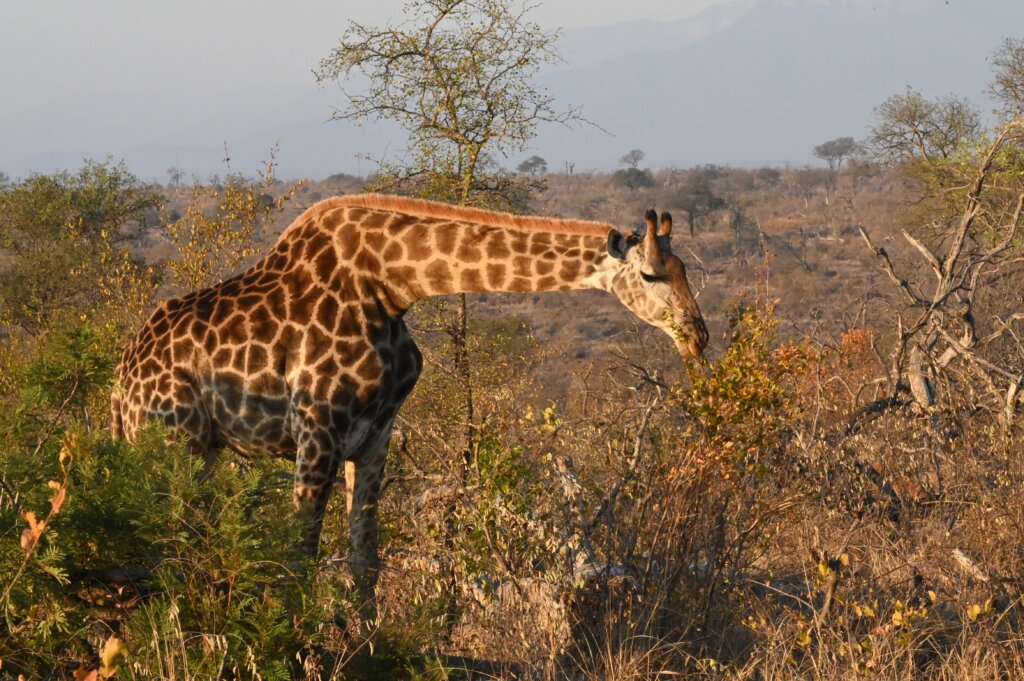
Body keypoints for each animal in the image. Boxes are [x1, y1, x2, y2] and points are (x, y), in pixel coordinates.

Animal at [110, 195, 704, 614]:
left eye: (685, 273)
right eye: (650, 274)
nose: (697, 336)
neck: (392, 284)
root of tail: (120, 384)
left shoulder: (375, 436)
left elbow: (365, 562)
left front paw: (367, 649)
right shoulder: (317, 431)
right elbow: (300, 558)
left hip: (204, 449)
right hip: (174, 441)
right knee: (163, 545)